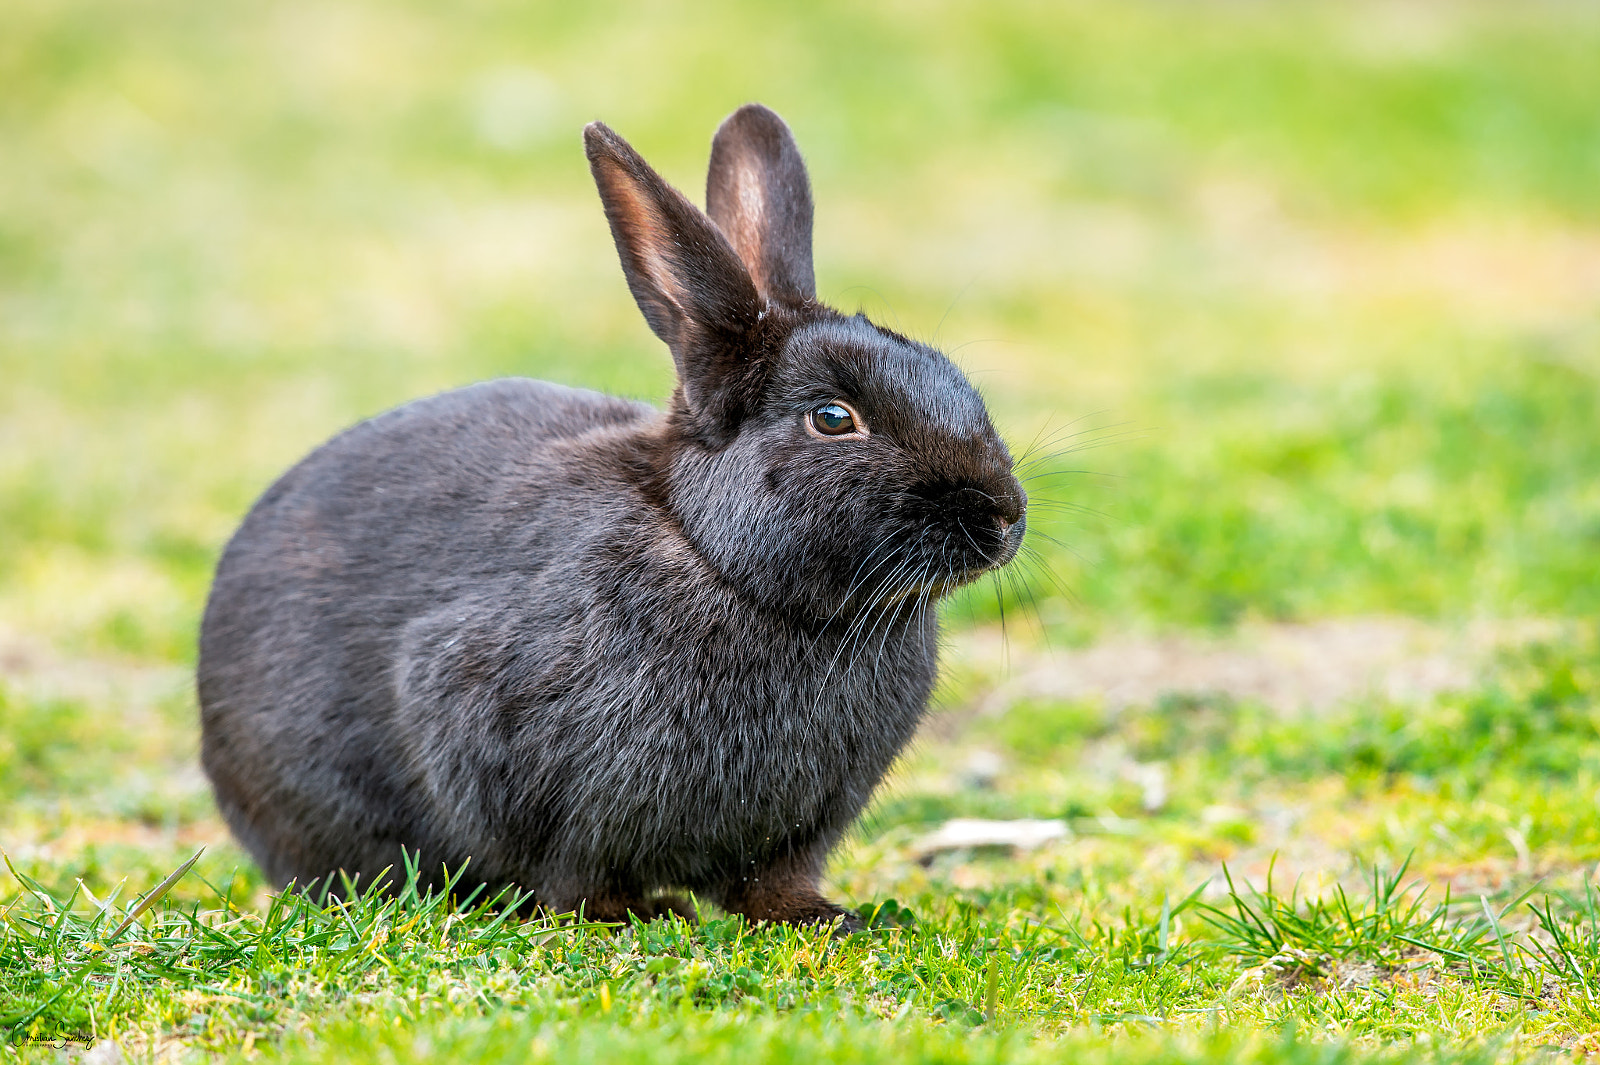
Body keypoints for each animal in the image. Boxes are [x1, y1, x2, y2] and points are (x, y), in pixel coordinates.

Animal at [197, 103, 1027, 930]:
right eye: (832, 418)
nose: (1003, 517)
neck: (717, 559)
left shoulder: (800, 825)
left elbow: (771, 881)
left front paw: (825, 915)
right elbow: (574, 871)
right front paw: (638, 912)